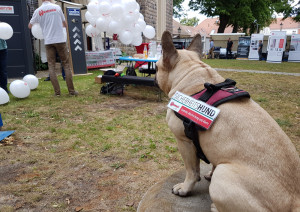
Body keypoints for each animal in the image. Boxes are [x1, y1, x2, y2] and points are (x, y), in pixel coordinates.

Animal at [155, 30, 300, 211]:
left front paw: (184, 188)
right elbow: (212, 162)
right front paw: (209, 173)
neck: (193, 75)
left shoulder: (184, 142)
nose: (154, 76)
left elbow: (192, 170)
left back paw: (215, 207)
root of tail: (294, 201)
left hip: (223, 175)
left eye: (156, 67)